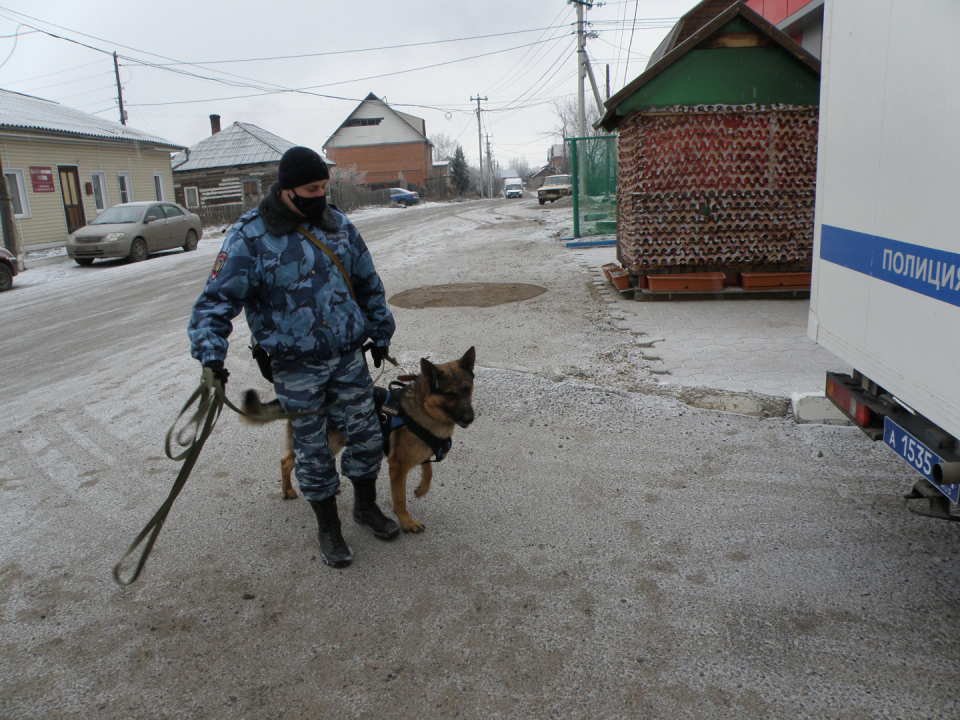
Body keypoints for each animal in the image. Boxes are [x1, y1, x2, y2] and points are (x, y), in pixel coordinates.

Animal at [244, 346, 476, 532]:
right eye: (450, 394)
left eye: (467, 389)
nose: (470, 418)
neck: (425, 410)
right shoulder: (398, 466)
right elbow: (400, 499)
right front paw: (406, 522)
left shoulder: (422, 452)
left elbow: (428, 471)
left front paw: (421, 489)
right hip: (321, 442)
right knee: (285, 462)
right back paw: (287, 490)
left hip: (335, 442)